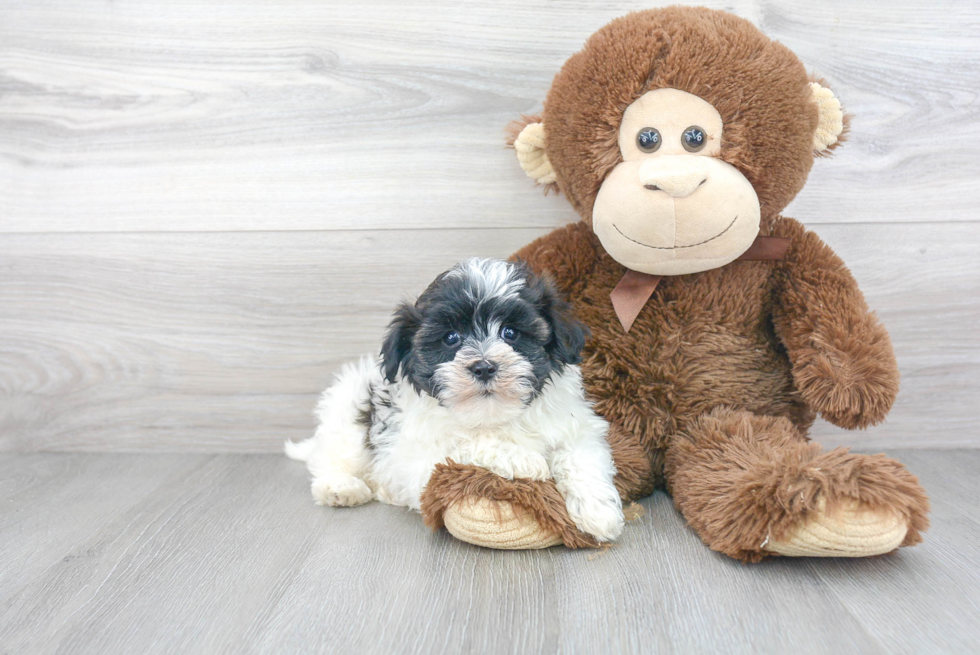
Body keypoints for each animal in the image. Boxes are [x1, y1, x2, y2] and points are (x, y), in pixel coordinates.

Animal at [284, 260, 624, 544]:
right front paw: (524, 460)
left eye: (510, 332)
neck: (492, 414)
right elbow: (464, 445)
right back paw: (341, 488)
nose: (484, 367)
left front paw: (599, 513)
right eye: (451, 338)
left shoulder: (578, 428)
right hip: (348, 418)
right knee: (332, 459)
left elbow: (580, 458)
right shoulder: (419, 459)